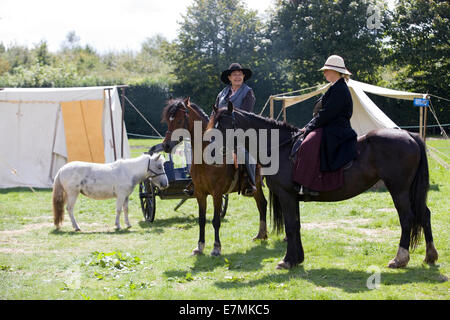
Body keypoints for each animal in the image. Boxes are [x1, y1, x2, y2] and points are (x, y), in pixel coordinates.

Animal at [162, 99, 268, 256]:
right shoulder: (200, 193)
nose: (166, 145)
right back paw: (261, 235)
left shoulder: (217, 193)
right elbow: (201, 220)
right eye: (168, 121)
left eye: (179, 120)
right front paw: (199, 246)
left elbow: (216, 220)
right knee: (262, 204)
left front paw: (216, 248)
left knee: (263, 204)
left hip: (257, 186)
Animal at [209, 103, 442, 270]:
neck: (279, 147)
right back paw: (430, 255)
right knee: (424, 215)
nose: (209, 152)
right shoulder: (293, 197)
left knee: (407, 218)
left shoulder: (286, 195)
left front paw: (288, 260)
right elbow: (296, 225)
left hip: (399, 190)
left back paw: (400, 258)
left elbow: (291, 226)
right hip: (410, 192)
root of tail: (409, 135)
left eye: (223, 125)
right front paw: (298, 258)